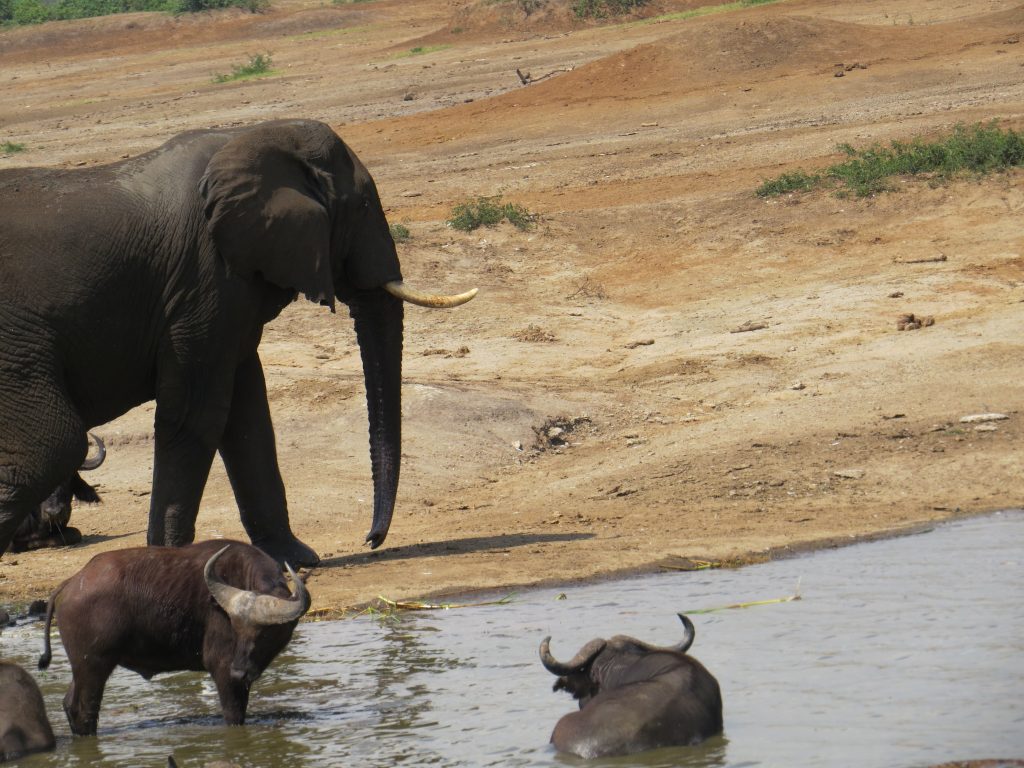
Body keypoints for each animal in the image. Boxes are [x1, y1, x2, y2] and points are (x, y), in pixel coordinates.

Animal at [0, 118, 475, 565]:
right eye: (362, 206)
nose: (372, 538)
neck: (254, 137)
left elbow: (247, 412)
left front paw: (295, 559)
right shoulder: (203, 278)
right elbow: (198, 412)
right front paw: (169, 560)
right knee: (54, 444)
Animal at [38, 536, 307, 737]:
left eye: (267, 633)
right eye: (236, 627)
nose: (239, 671)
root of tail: (72, 582)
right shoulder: (222, 671)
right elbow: (234, 716)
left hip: (83, 668)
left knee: (70, 705)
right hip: (93, 666)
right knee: (83, 711)